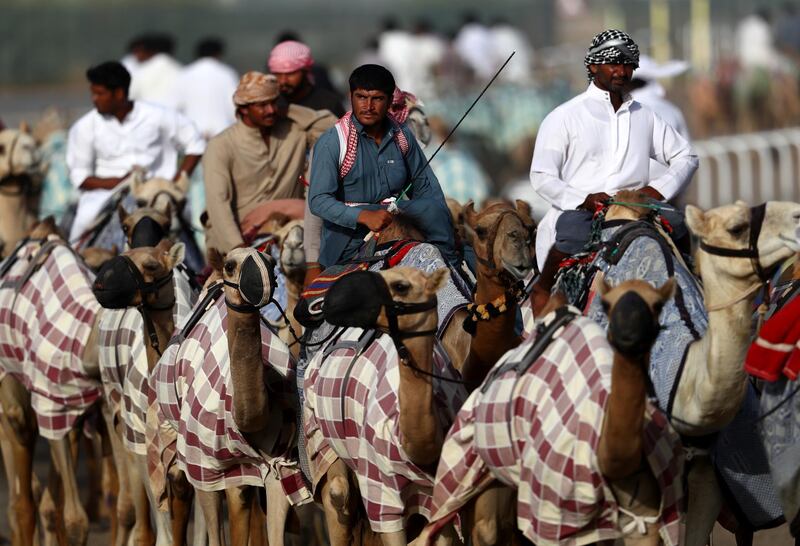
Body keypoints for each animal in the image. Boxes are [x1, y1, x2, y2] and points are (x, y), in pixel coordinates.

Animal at [304, 266, 468, 544]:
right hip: (317, 434)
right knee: (337, 494)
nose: (334, 299)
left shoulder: (440, 494)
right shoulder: (382, 491)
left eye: (401, 286)